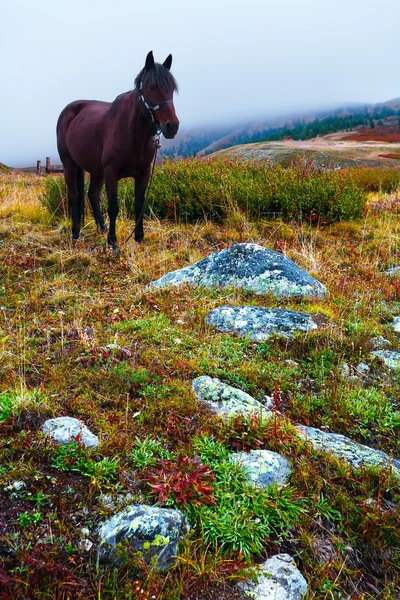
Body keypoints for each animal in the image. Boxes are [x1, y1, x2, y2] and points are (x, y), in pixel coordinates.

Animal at [56, 51, 180, 255]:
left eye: (172, 89)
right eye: (152, 87)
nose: (172, 126)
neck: (132, 132)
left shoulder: (143, 173)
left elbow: (139, 204)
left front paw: (139, 238)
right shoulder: (111, 173)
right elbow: (113, 207)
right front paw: (113, 242)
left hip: (96, 171)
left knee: (92, 195)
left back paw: (102, 228)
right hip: (70, 165)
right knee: (74, 196)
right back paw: (76, 234)